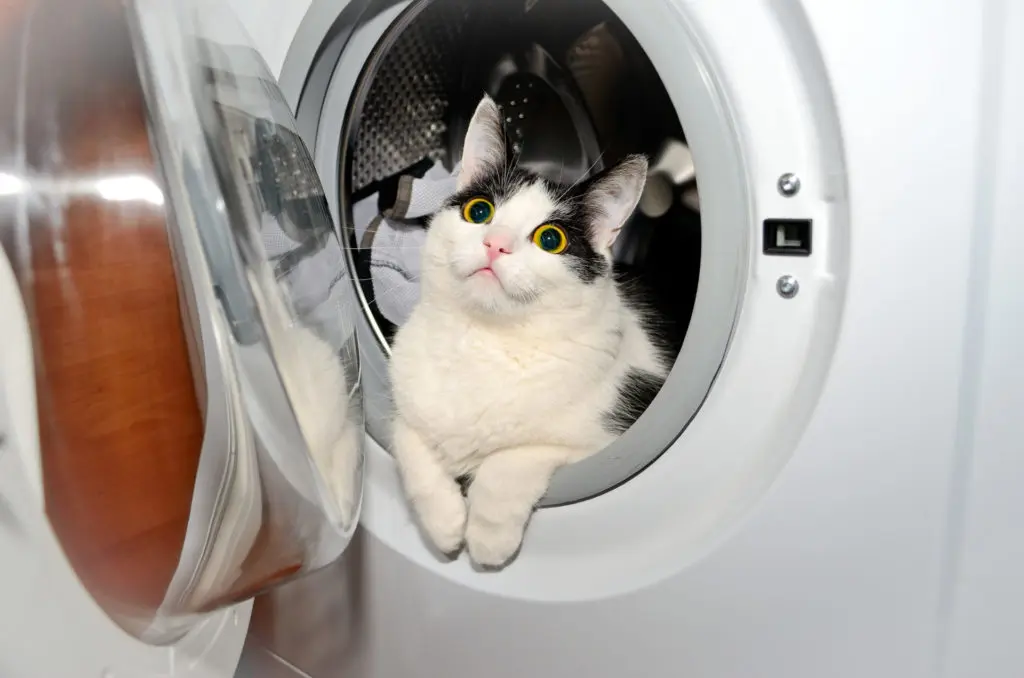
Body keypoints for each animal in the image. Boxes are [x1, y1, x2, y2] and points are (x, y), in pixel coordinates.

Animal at [385, 93, 671, 565]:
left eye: (550, 239)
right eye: (479, 212)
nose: (495, 243)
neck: (482, 339)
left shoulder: (604, 440)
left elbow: (513, 458)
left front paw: (487, 537)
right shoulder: (407, 396)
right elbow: (405, 435)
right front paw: (444, 523)